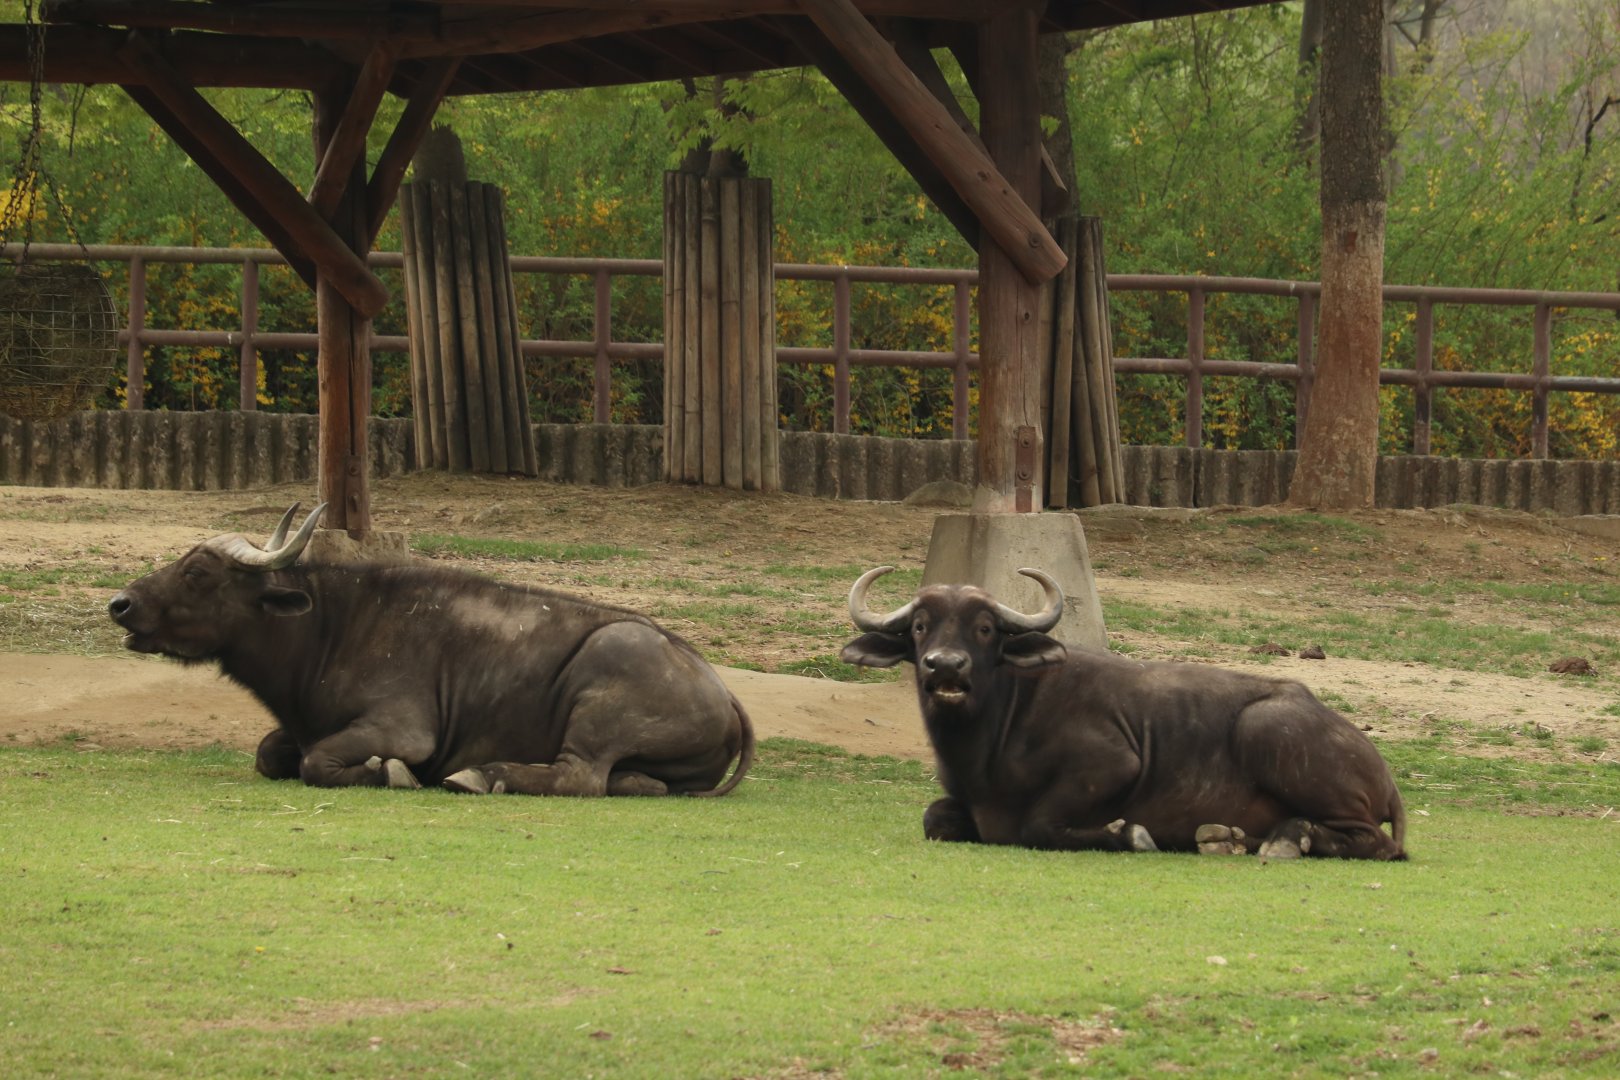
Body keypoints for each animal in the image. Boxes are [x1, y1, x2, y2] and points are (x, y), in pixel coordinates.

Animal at [108, 503, 753, 797]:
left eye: (197, 572)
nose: (120, 603)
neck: (331, 630)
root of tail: (723, 693)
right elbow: (271, 753)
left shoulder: (402, 729)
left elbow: (321, 762)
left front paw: (387, 771)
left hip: (601, 693)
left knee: (580, 776)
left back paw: (480, 774)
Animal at [840, 566, 1406, 859]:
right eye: (920, 627)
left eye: (983, 628)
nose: (945, 666)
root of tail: (1380, 767)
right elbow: (934, 817)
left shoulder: (1114, 764)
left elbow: (1039, 824)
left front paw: (1130, 833)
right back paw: (1227, 837)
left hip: (1265, 728)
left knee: (1375, 841)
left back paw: (1288, 840)